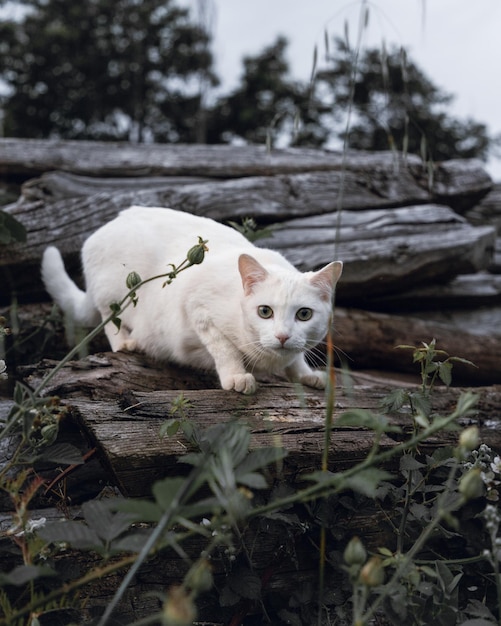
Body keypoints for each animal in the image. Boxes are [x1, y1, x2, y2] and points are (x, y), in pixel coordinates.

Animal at [42, 210, 340, 394]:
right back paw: (126, 343)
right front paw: (236, 377)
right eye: (264, 311)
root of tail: (103, 228)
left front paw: (306, 375)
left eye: (304, 314)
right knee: (109, 319)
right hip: (117, 293)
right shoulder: (198, 307)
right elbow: (225, 349)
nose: (282, 336)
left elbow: (296, 357)